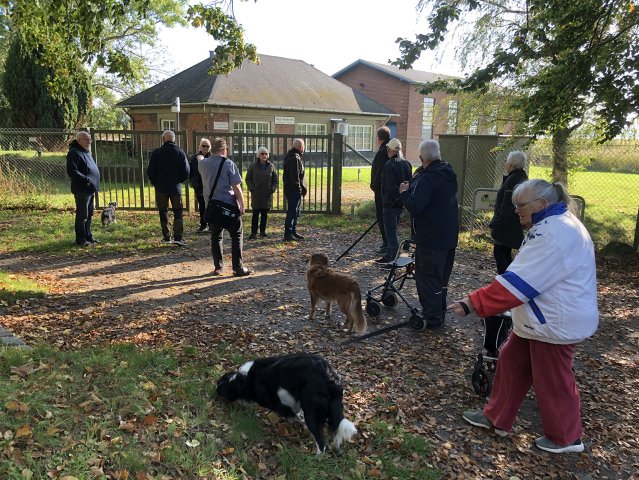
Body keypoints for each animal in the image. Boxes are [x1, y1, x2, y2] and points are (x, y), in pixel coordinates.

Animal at [218, 352, 358, 454]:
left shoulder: (278, 404)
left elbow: (294, 415)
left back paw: (316, 457)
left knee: (321, 442)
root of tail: (329, 376)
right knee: (334, 429)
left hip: (311, 412)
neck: (244, 379)